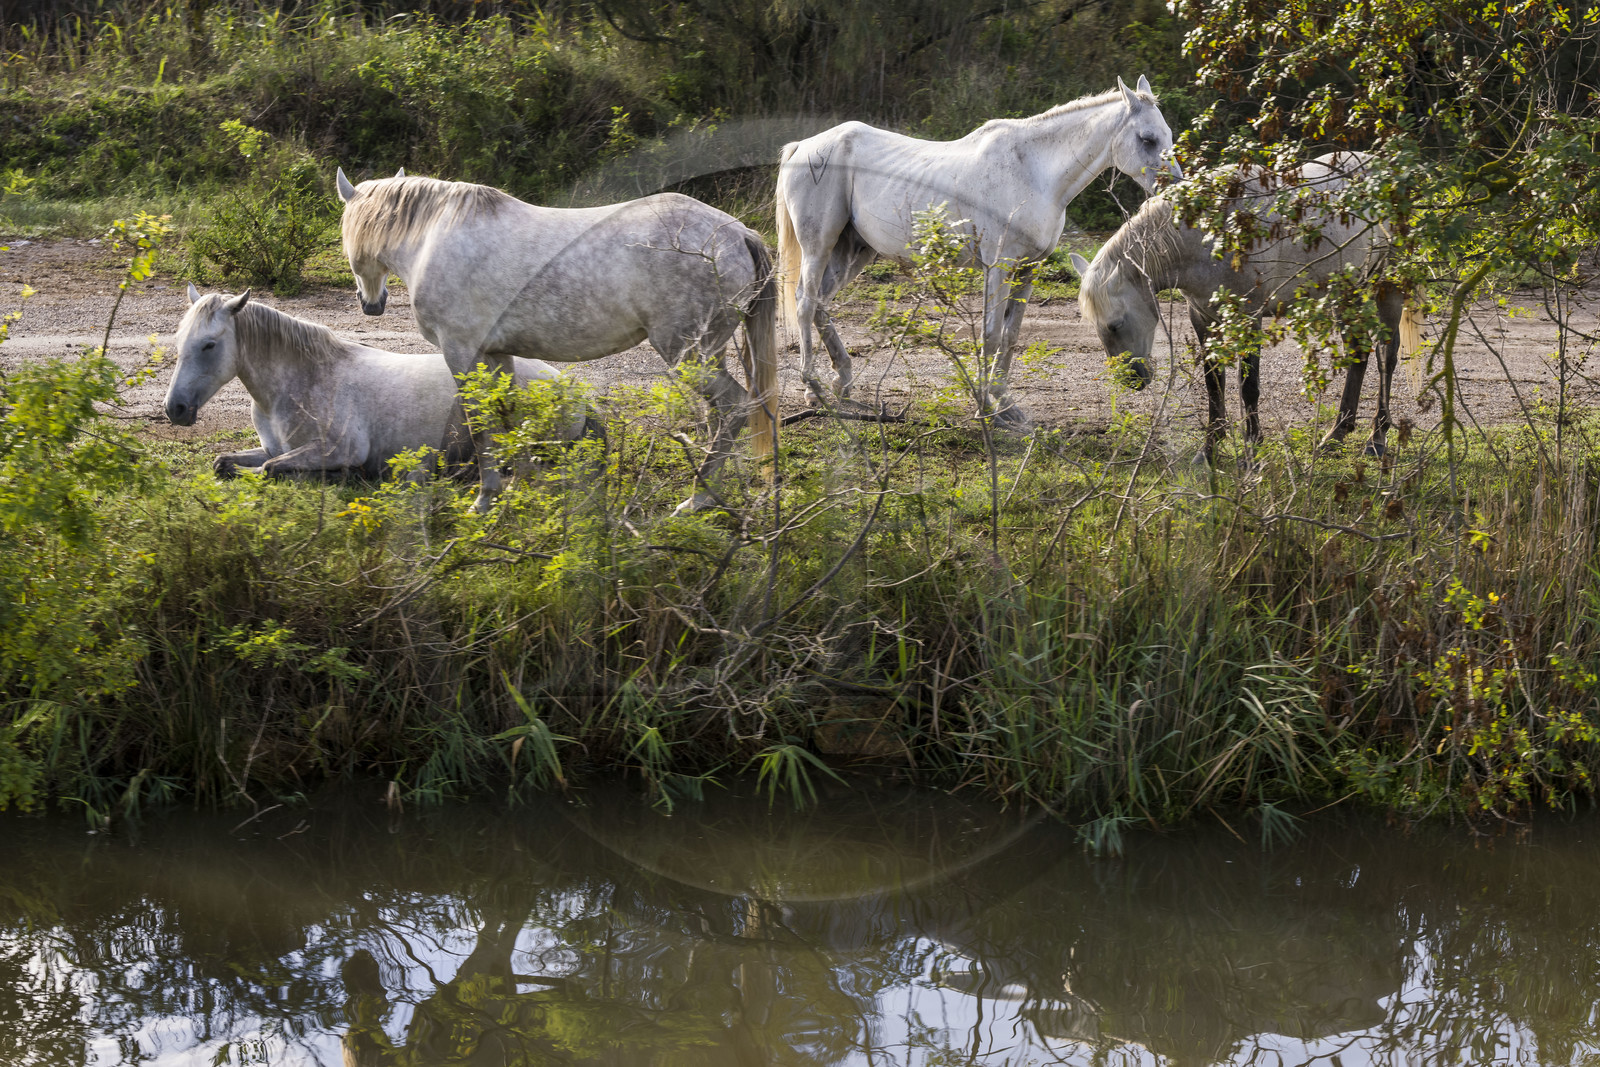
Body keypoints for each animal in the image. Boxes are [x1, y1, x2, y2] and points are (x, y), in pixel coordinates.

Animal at [165, 285, 593, 480]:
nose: (175, 409)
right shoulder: (273, 447)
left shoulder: (338, 451)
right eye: (179, 339)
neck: (302, 380)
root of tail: (570, 388)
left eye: (209, 344)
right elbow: (225, 461)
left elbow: (270, 469)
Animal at [334, 171, 778, 514]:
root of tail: (737, 233)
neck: (433, 240)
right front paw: (524, 484)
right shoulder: (495, 353)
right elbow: (509, 414)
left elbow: (481, 423)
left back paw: (697, 499)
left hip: (685, 353)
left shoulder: (460, 352)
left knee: (733, 406)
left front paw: (485, 499)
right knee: (721, 414)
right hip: (710, 351)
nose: (370, 304)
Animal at [775, 75, 1182, 428]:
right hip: (819, 245)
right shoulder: (998, 267)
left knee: (819, 302)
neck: (1034, 173)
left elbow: (1011, 335)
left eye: (1169, 135)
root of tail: (803, 147)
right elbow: (990, 334)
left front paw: (1005, 403)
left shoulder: (1028, 270)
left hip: (854, 251)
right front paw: (985, 407)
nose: (1176, 188)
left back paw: (840, 382)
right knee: (806, 302)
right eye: (1147, 139)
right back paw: (813, 387)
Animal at [1069, 152, 1424, 459]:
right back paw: (1336, 435)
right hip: (1345, 293)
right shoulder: (1203, 317)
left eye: (1116, 324)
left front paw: (1252, 446)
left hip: (1387, 288)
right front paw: (1210, 448)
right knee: (1358, 352)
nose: (1133, 379)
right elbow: (1214, 383)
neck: (1207, 235)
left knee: (1386, 356)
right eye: (1099, 329)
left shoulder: (1249, 317)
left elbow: (1247, 386)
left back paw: (1376, 439)